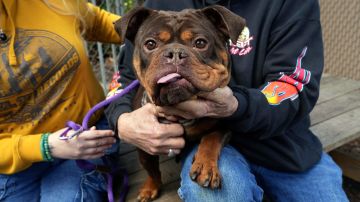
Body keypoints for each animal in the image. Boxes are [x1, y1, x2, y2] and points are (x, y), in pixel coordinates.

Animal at [114, 5, 245, 201]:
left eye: (200, 43)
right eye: (150, 44)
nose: (175, 53)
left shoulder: (223, 123)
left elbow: (211, 138)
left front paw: (205, 165)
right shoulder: (143, 144)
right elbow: (151, 170)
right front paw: (150, 187)